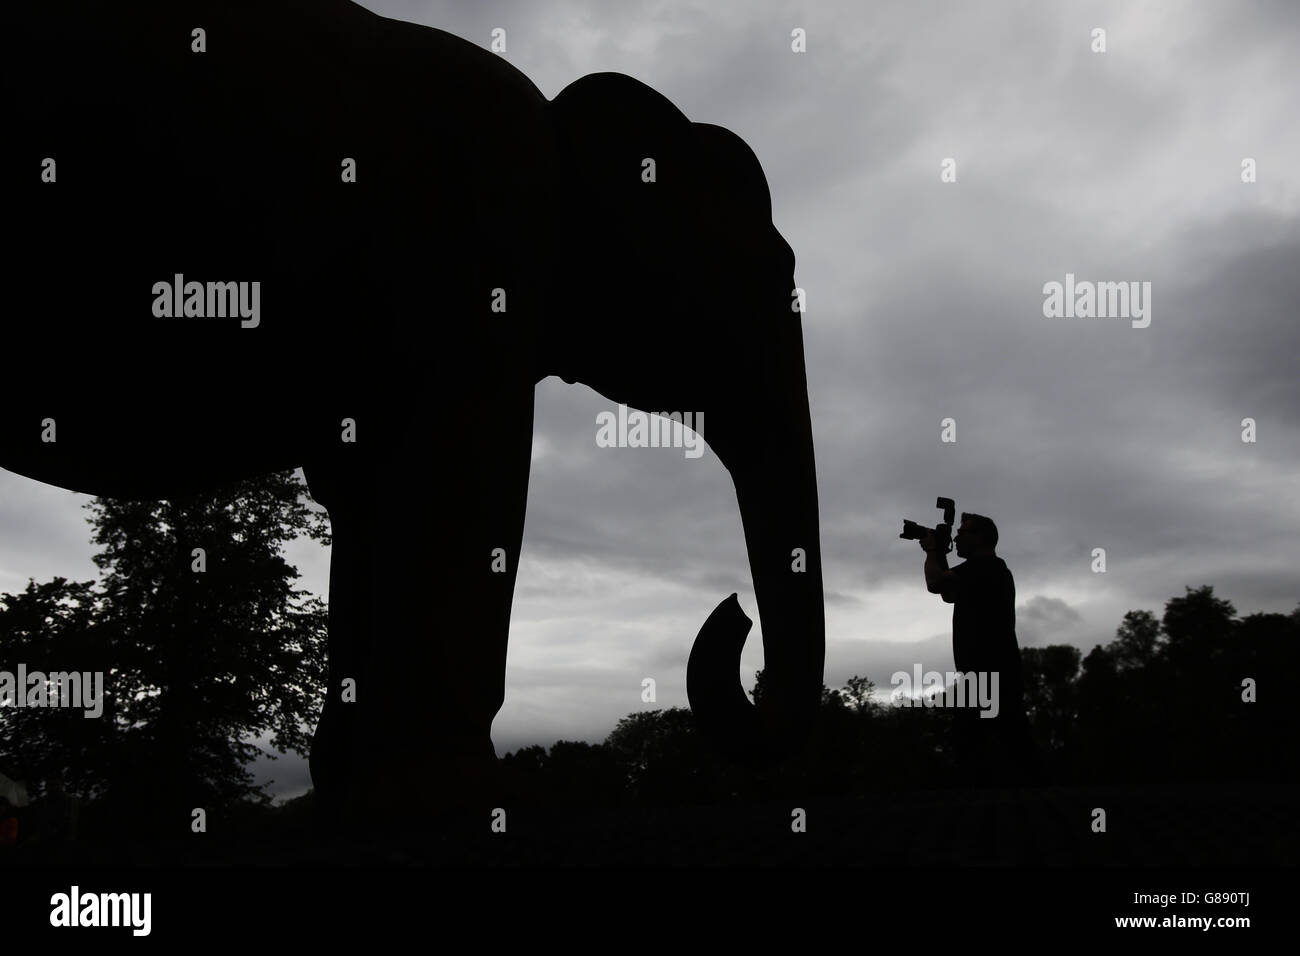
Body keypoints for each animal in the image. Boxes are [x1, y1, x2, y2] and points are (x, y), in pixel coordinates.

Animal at [2, 1, 821, 816]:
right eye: (776, 271)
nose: (733, 612)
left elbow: (365, 491)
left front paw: (351, 786)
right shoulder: (473, 252)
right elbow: (466, 462)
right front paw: (451, 797)